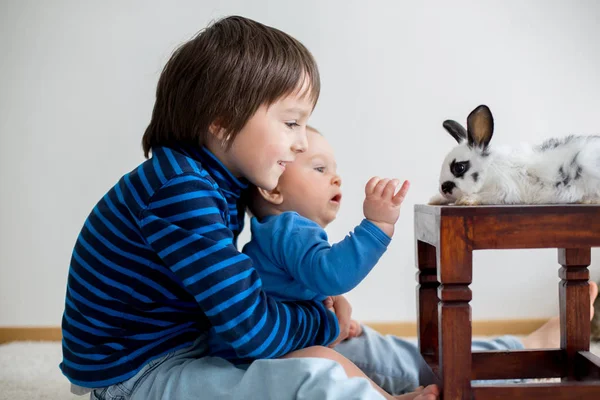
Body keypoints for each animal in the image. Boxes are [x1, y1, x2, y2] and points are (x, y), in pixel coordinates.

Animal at [428, 104, 600, 206]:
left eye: (459, 167)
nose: (443, 189)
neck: (489, 169)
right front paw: (435, 199)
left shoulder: (503, 190)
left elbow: (486, 196)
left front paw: (466, 200)